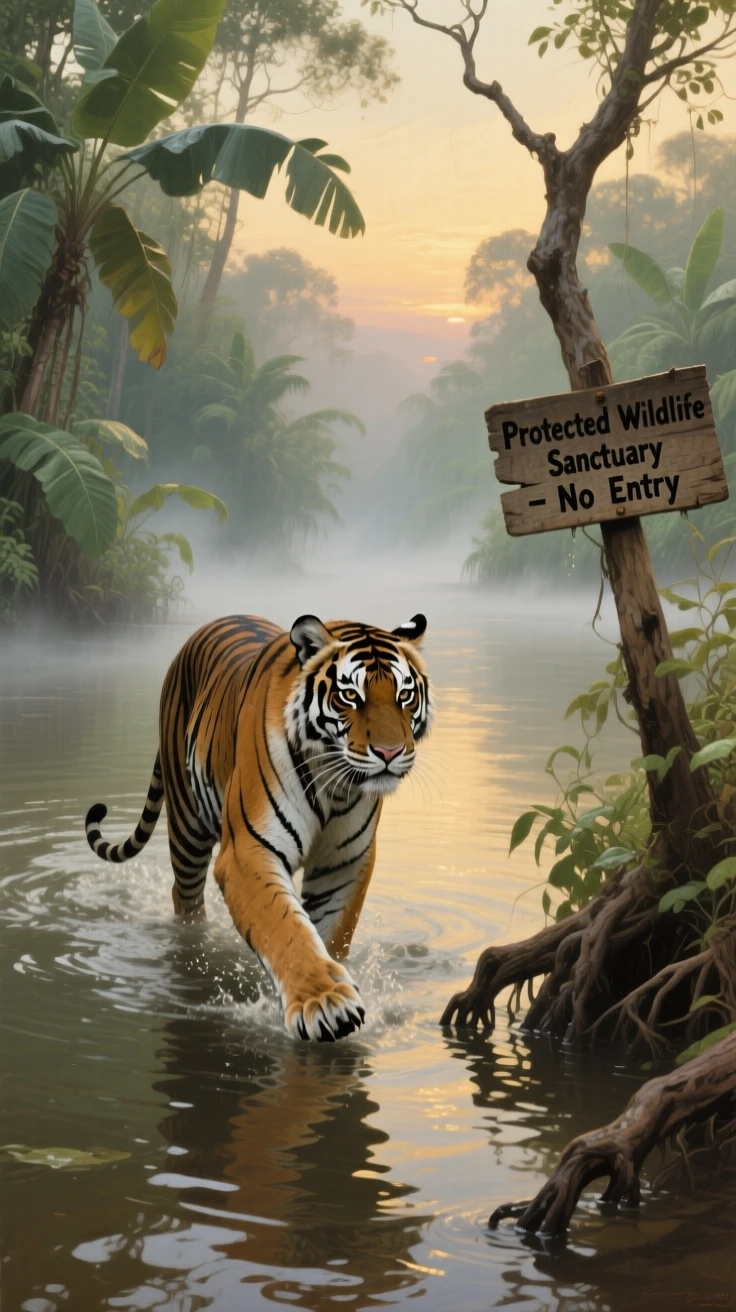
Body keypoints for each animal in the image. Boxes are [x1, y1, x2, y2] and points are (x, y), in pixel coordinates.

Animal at [85, 612, 432, 1042]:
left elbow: (327, 933)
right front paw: (325, 1003)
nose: (389, 753)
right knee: (185, 899)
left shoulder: (344, 863)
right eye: (351, 696)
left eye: (405, 695)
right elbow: (286, 927)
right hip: (186, 828)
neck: (334, 784)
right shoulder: (247, 852)